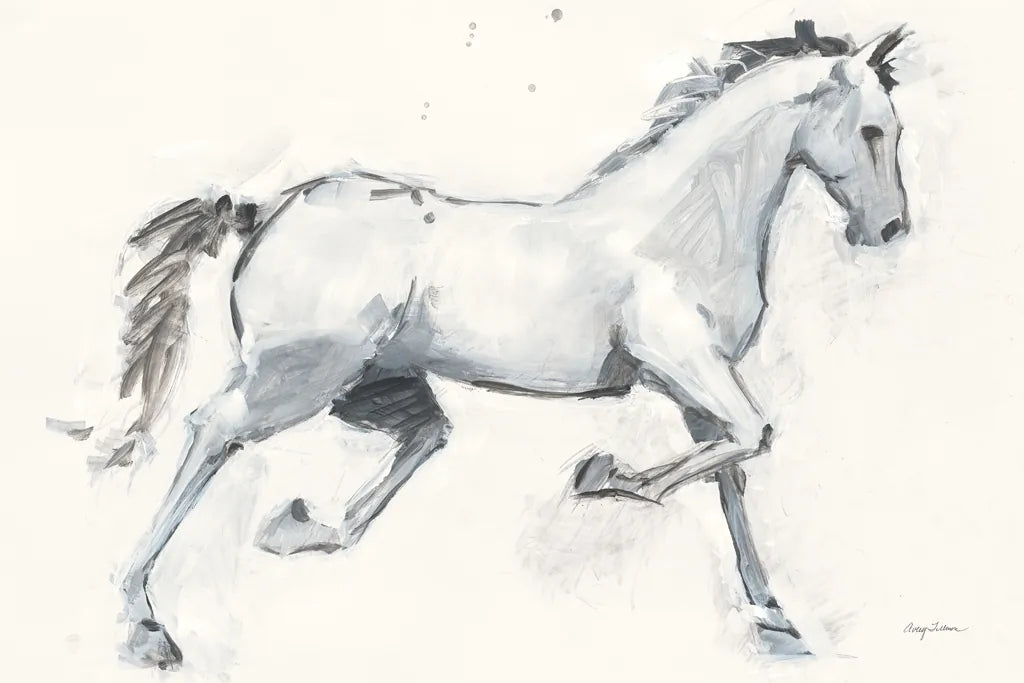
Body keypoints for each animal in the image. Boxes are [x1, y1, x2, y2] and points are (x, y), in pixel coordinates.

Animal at [79, 20, 913, 669]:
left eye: (898, 130)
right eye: (872, 130)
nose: (889, 228)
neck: (684, 226)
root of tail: (265, 208)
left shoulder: (699, 389)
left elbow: (732, 473)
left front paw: (777, 621)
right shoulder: (686, 365)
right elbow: (752, 436)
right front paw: (602, 474)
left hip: (372, 379)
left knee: (422, 435)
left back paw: (300, 527)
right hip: (297, 376)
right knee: (211, 430)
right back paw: (145, 622)